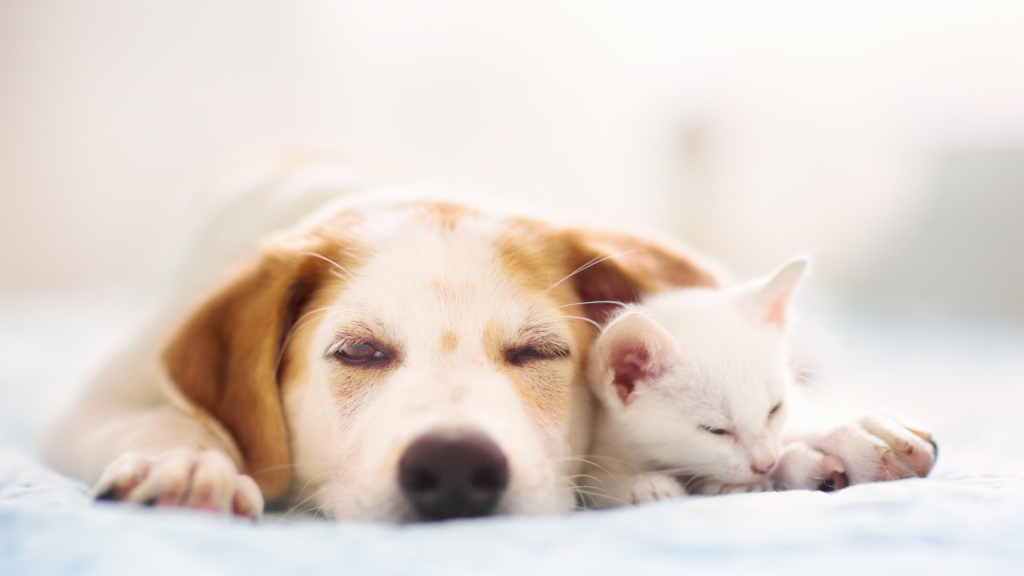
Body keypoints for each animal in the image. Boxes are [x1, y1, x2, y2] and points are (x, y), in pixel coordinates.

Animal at [41, 152, 729, 520]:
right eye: (360, 352)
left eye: (538, 352)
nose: (454, 466)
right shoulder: (91, 401)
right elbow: (157, 418)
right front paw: (186, 462)